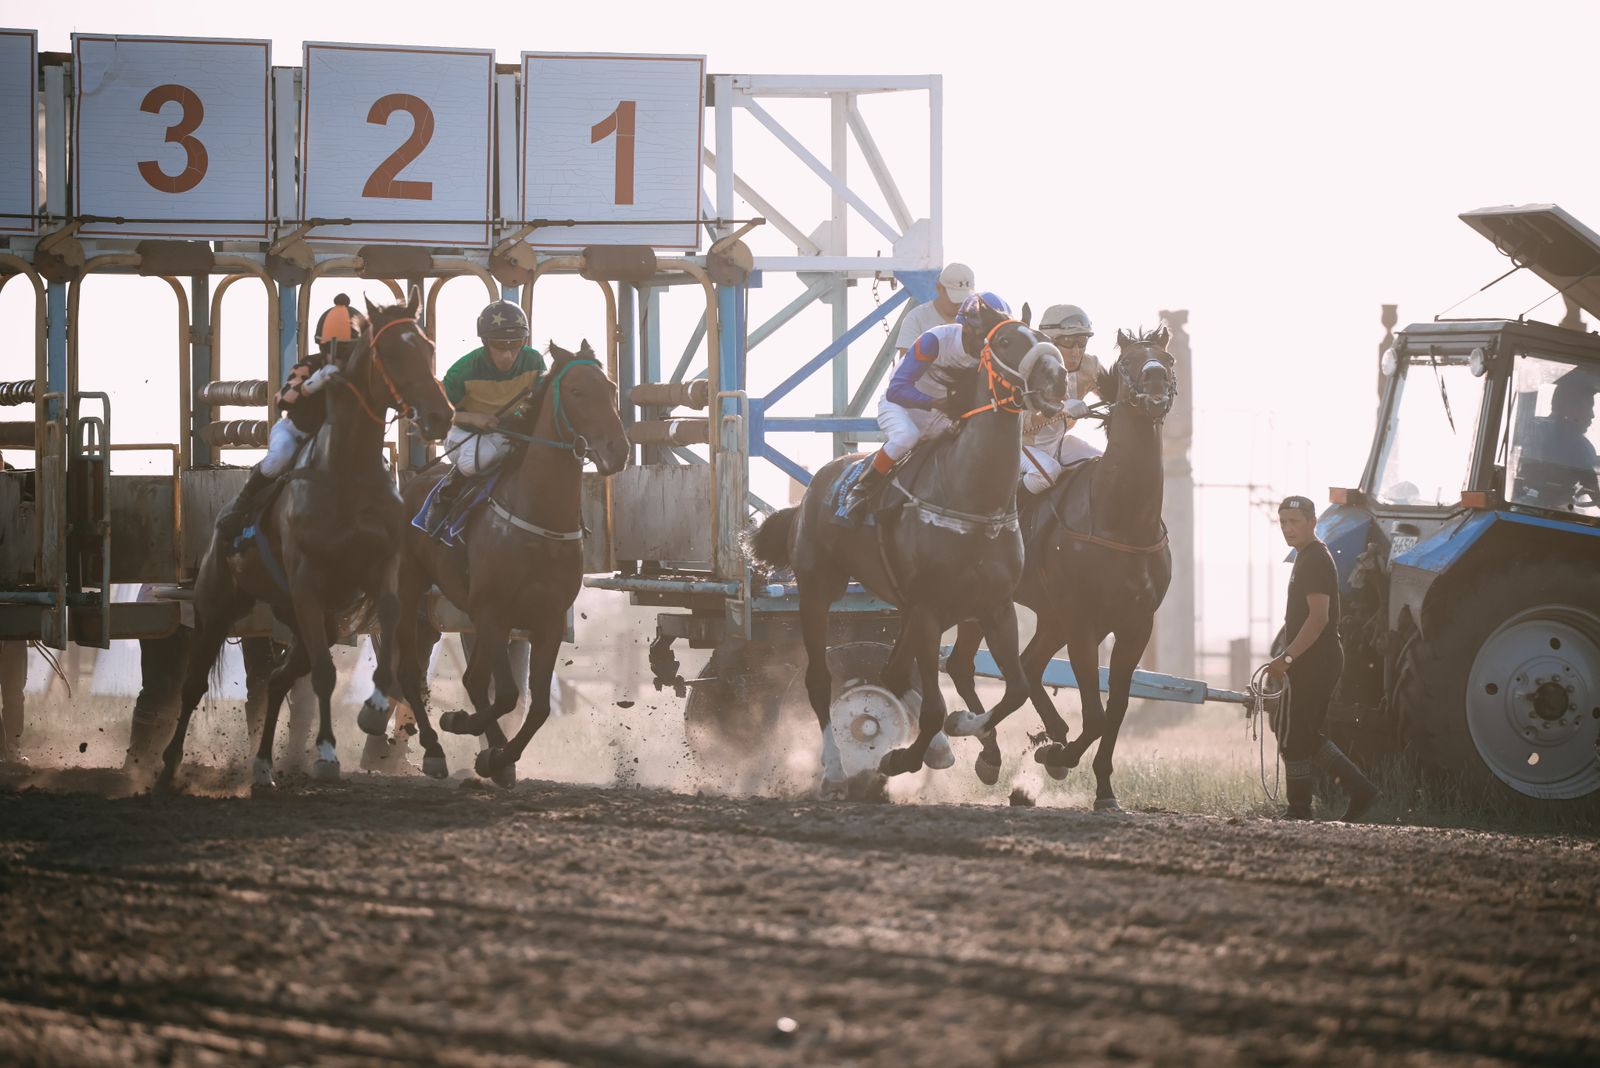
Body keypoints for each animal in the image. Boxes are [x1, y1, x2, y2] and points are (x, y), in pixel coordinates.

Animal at [156, 287, 454, 789]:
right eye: (393, 353)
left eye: (429, 347)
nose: (440, 416)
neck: (347, 473)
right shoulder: (308, 582)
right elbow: (325, 675)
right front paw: (328, 753)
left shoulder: (383, 573)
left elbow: (396, 646)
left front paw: (381, 712)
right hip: (217, 608)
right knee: (195, 684)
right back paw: (167, 765)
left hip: (303, 617)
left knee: (278, 678)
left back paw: (261, 765)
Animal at [387, 342, 630, 783]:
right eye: (577, 392)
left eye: (611, 388)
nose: (618, 450)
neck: (539, 520)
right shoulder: (493, 613)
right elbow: (507, 694)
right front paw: (462, 726)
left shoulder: (546, 621)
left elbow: (537, 706)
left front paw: (498, 757)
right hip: (411, 591)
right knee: (412, 673)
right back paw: (433, 748)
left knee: (472, 679)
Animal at [745, 300, 1068, 793]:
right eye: (1008, 341)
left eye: (1041, 336)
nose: (1059, 378)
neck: (971, 499)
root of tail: (814, 487)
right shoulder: (930, 608)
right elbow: (934, 707)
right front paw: (903, 756)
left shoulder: (994, 606)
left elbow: (1014, 690)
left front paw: (959, 729)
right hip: (817, 590)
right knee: (820, 680)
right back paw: (835, 768)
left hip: (901, 609)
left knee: (892, 673)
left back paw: (933, 748)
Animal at [934, 326, 1177, 808]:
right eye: (1128, 363)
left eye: (1168, 360)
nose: (1156, 385)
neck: (1122, 521)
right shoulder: (1083, 621)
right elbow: (1096, 714)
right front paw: (1059, 757)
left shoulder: (1135, 625)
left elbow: (1115, 710)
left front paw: (1102, 788)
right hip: (995, 605)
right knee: (964, 665)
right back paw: (991, 752)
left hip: (1049, 617)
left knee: (1025, 666)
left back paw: (1046, 737)